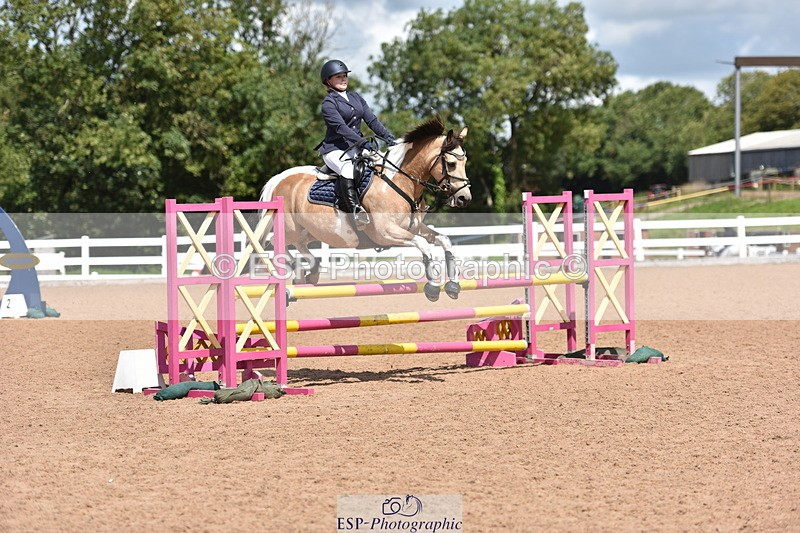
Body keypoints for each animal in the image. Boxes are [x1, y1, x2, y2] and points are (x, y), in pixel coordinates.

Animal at [259, 115, 471, 302]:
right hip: (290, 229)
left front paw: (453, 286)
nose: (464, 198)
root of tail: (280, 178)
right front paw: (433, 288)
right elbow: (424, 245)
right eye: (451, 164)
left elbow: (444, 241)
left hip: (311, 231)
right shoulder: (385, 233)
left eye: (465, 162)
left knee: (300, 244)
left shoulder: (414, 228)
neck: (400, 182)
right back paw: (296, 269)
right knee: (275, 242)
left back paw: (311, 271)